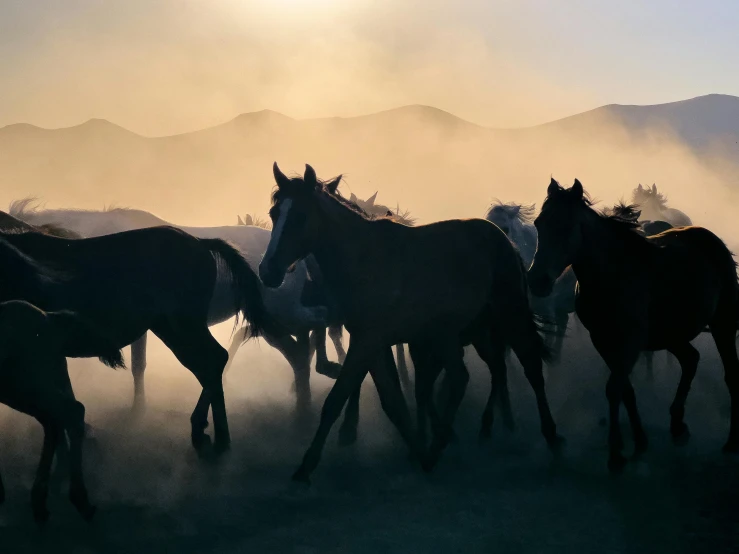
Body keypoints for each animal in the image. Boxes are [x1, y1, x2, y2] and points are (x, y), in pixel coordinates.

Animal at [0, 222, 268, 454]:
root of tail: (201, 243)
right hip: (170, 327)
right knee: (209, 363)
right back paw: (205, 429)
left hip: (183, 325)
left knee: (212, 361)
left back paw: (216, 436)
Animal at [8, 198, 326, 414]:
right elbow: (136, 366)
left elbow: (137, 366)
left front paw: (138, 409)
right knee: (299, 353)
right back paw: (302, 405)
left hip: (280, 315)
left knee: (308, 338)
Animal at [260, 162, 560, 480]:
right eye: (274, 213)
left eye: (301, 216)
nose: (268, 271)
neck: (364, 259)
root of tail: (504, 239)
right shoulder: (374, 344)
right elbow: (392, 402)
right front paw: (417, 453)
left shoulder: (369, 341)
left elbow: (338, 397)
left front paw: (305, 469)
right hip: (459, 334)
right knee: (471, 375)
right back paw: (454, 438)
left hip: (507, 317)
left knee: (528, 368)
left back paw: (549, 437)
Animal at [528, 178, 739, 470]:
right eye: (539, 223)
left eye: (567, 226)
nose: (537, 281)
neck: (611, 276)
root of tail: (712, 241)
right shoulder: (603, 341)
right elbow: (625, 389)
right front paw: (639, 441)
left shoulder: (631, 342)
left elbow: (614, 388)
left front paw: (616, 453)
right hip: (670, 335)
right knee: (690, 360)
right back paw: (677, 427)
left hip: (722, 325)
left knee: (729, 374)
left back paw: (730, 443)